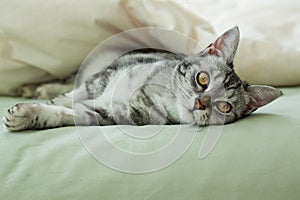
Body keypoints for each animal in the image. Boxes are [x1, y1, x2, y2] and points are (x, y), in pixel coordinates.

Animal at [2, 27, 282, 132]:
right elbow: (64, 99)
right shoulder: (102, 78)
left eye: (224, 106)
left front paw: (30, 115)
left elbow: (65, 113)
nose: (200, 102)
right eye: (203, 79)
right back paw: (34, 88)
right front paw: (34, 106)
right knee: (67, 81)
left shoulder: (108, 115)